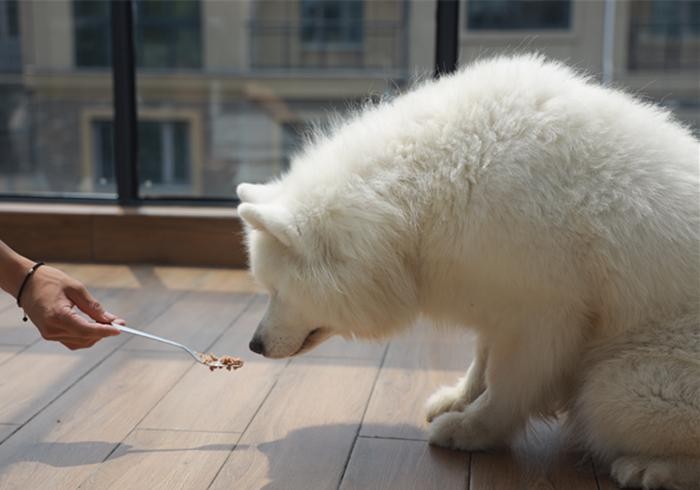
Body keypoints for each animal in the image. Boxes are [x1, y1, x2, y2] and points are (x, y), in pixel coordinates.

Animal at [237, 55, 700, 488]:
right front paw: (459, 398)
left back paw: (650, 468)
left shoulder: (545, 317)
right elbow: (483, 360)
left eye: (276, 291)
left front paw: (472, 430)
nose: (254, 345)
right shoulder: (496, 298)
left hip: (619, 387)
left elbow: (507, 387)